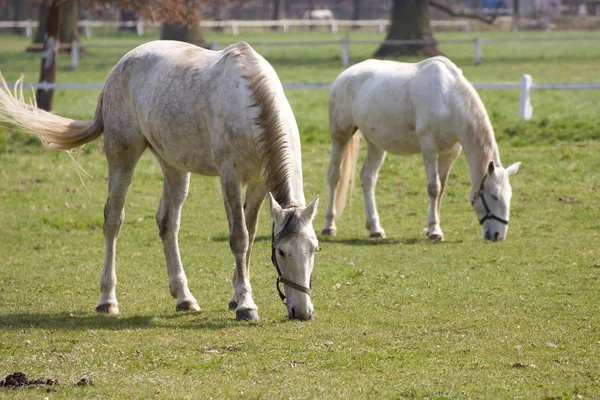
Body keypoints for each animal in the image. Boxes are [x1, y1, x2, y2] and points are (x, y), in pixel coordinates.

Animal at [0, 40, 318, 320]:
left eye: (314, 249)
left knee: (168, 223)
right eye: (281, 252)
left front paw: (235, 297)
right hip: (122, 156)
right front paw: (245, 306)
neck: (247, 104)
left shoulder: (259, 183)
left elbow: (250, 237)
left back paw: (184, 298)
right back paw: (107, 300)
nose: (302, 312)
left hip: (174, 167)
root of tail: (121, 65)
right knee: (113, 220)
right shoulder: (230, 176)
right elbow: (238, 238)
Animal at [324, 57, 520, 241]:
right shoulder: (429, 148)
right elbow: (434, 187)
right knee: (334, 176)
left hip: (376, 144)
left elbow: (441, 189)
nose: (498, 235)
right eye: (494, 196)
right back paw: (329, 226)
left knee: (368, 178)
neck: (448, 99)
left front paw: (432, 228)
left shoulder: (450, 153)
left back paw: (375, 228)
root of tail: (344, 76)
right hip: (340, 136)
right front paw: (434, 231)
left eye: (509, 196)